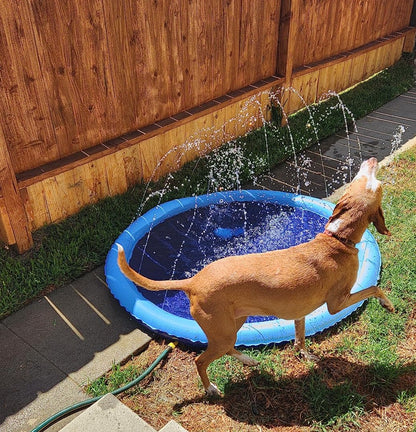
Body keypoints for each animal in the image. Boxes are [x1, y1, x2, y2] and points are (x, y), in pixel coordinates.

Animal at [117, 158, 394, 394]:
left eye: (360, 179)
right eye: (370, 181)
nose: (370, 160)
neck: (337, 238)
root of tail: (193, 280)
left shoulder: (300, 313)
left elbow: (300, 340)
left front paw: (306, 356)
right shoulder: (337, 303)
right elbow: (373, 289)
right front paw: (387, 304)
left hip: (233, 323)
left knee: (228, 348)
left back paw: (248, 360)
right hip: (223, 332)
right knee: (201, 360)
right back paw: (210, 388)